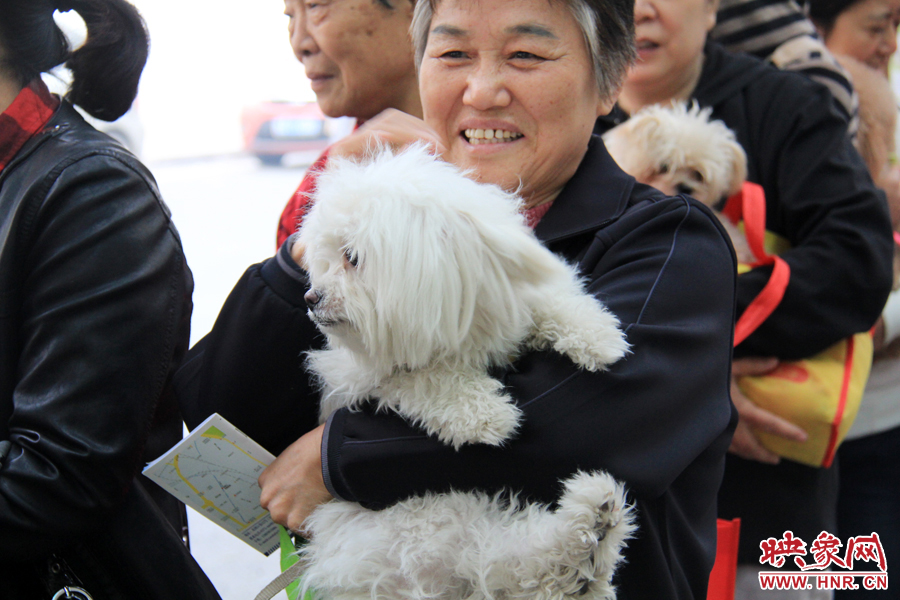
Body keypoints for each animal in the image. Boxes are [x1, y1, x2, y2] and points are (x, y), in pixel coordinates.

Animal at [292, 146, 636, 600]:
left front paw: (598, 336)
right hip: (418, 528)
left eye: (352, 257)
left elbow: (551, 302)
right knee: (518, 566)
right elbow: (424, 377)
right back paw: (588, 537)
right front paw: (485, 416)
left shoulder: (507, 299)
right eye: (327, 261)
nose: (311, 298)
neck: (458, 324)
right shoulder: (359, 374)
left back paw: (594, 532)